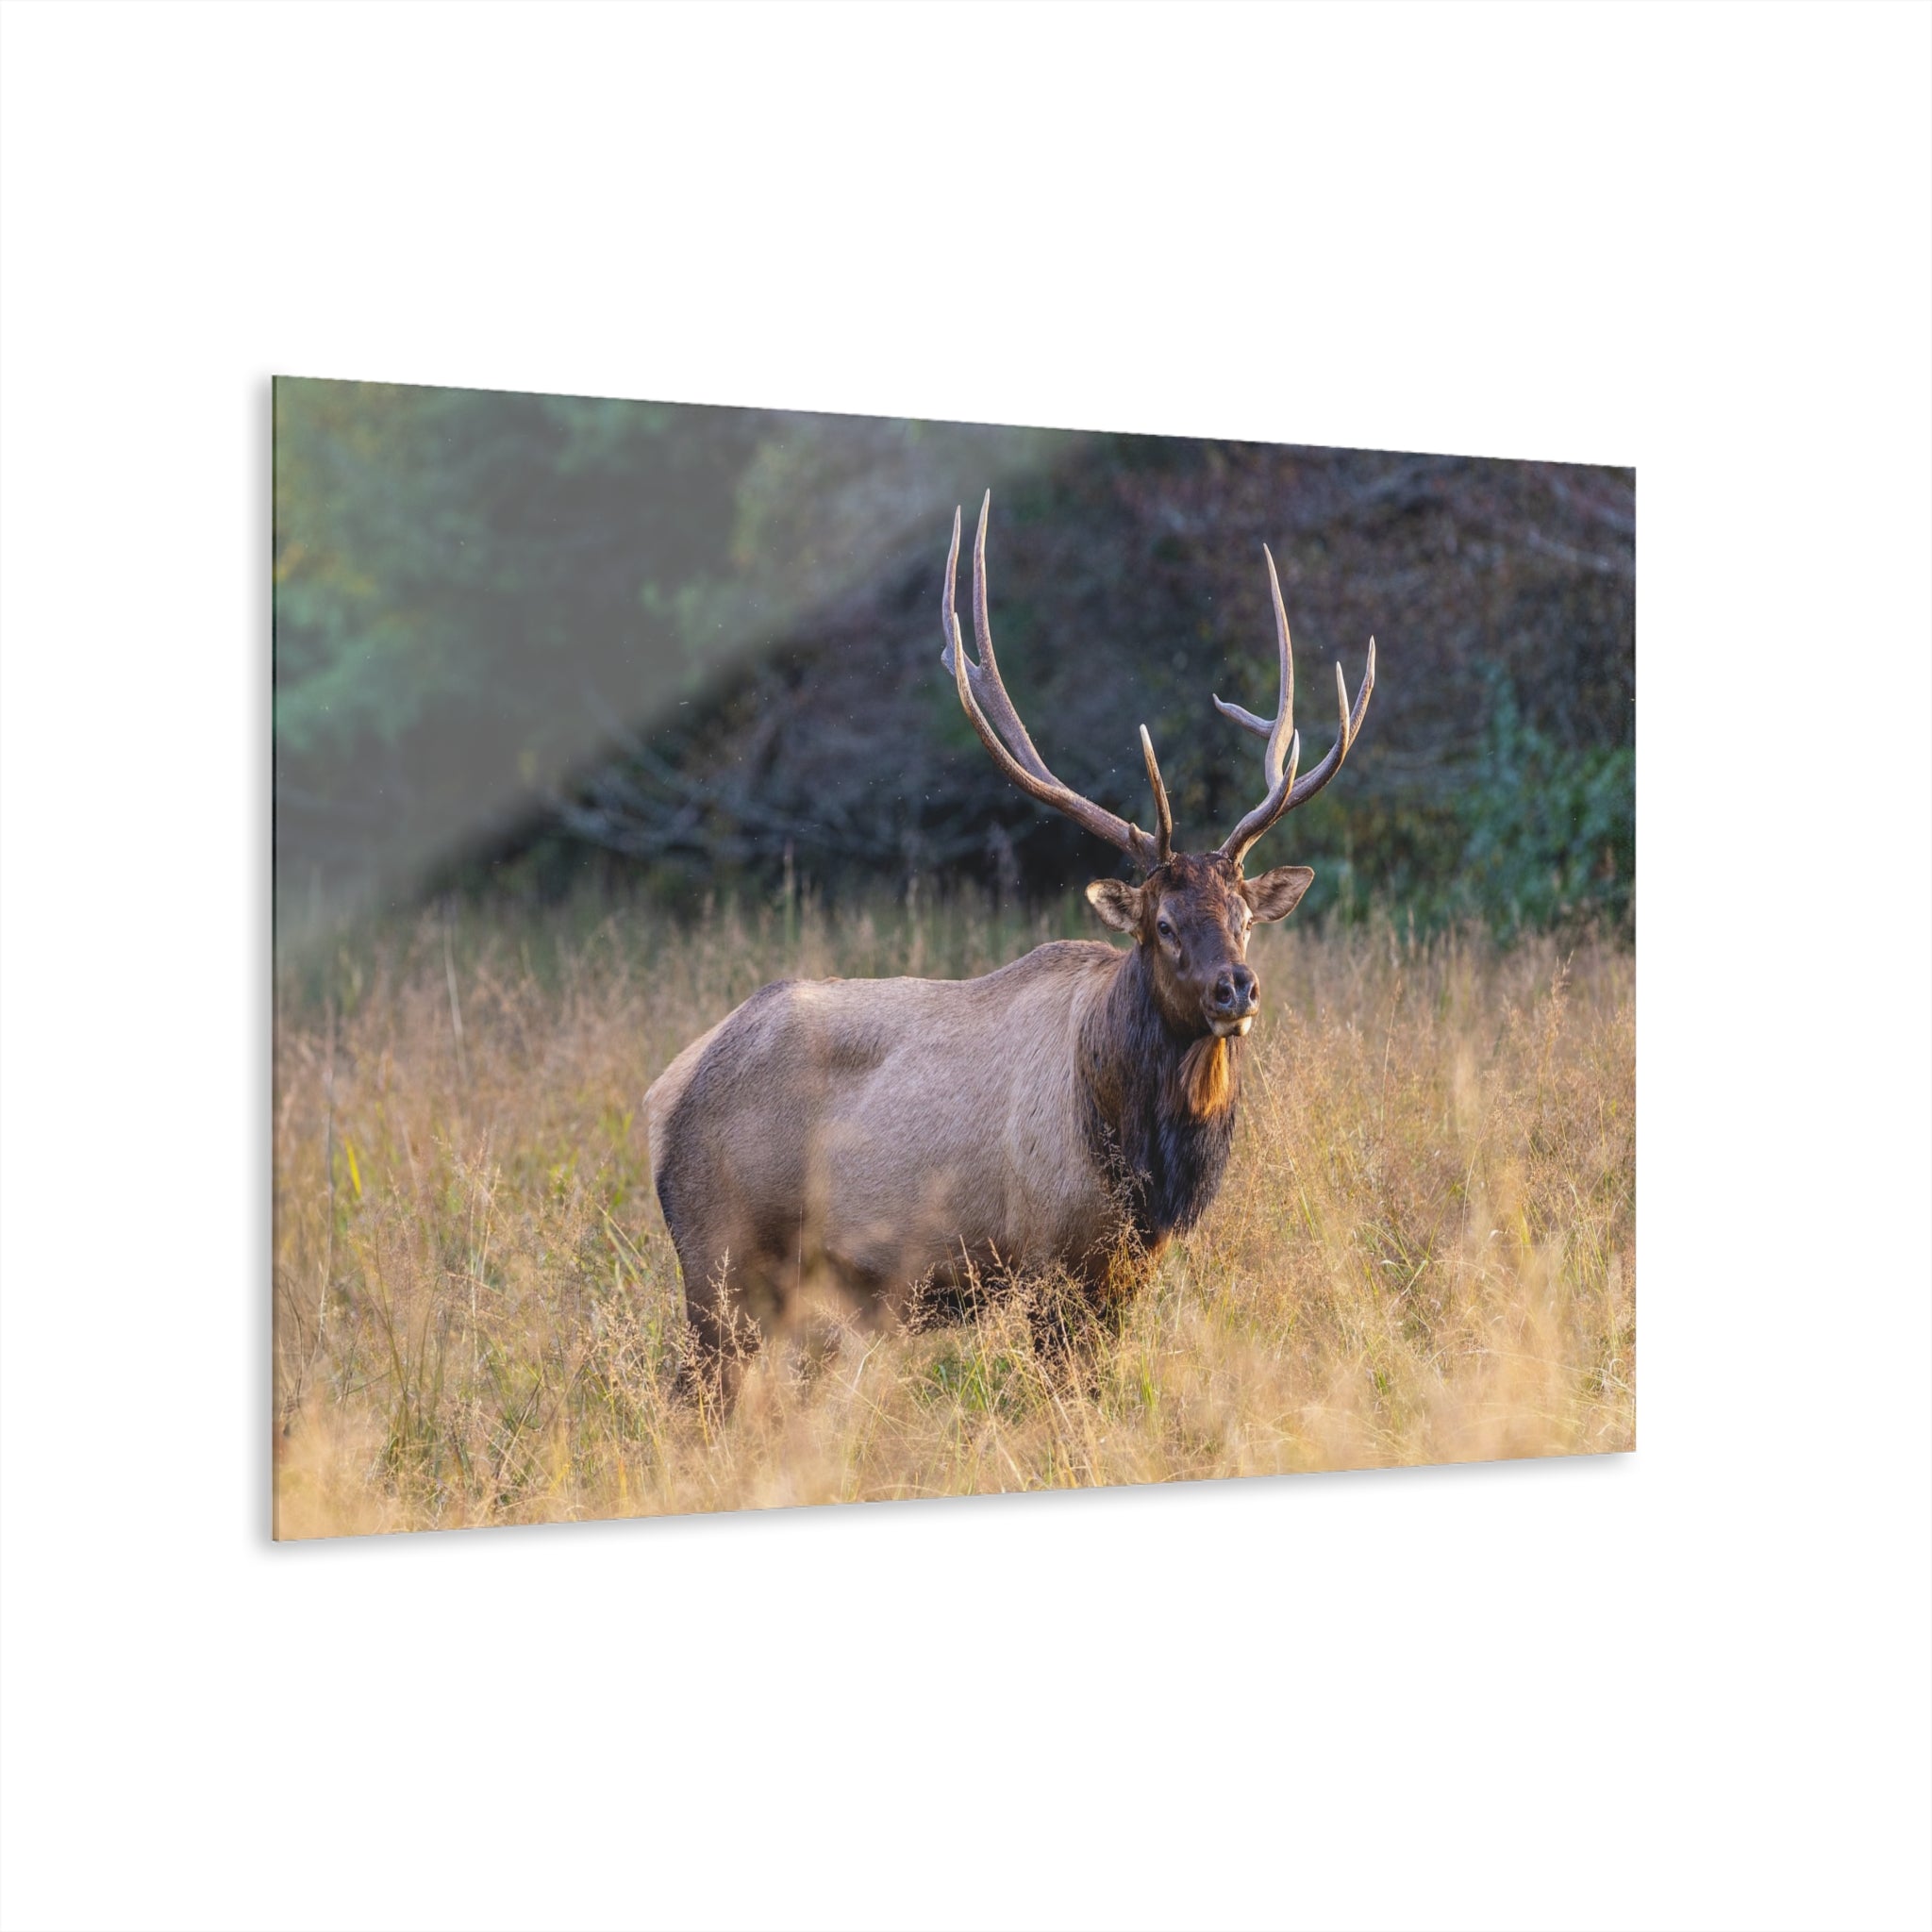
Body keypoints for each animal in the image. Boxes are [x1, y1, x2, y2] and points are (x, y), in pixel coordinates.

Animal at [643, 492, 1375, 1391]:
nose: (1235, 987)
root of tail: (663, 1097)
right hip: (722, 1258)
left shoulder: (1125, 1271)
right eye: (1163, 925)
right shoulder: (1050, 1258)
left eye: (1242, 916)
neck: (1140, 1156)